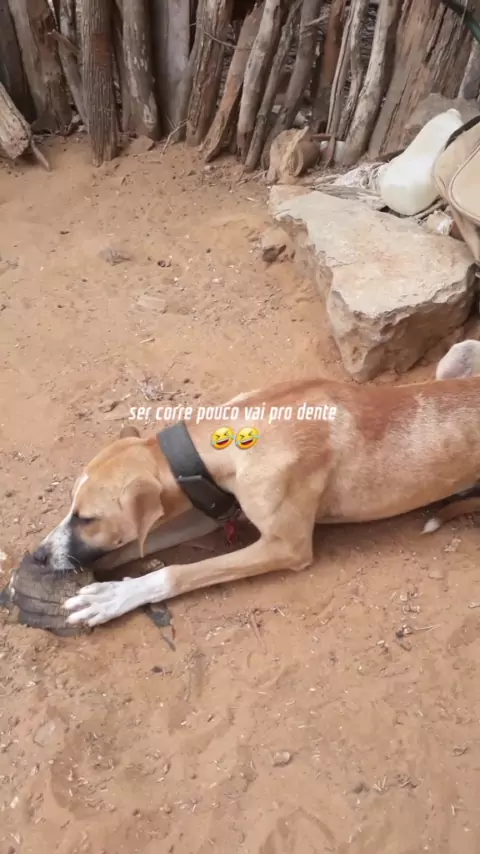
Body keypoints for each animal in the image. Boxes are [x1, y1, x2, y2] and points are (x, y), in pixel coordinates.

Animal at [32, 340, 480, 628]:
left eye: (88, 517)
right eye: (72, 508)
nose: (38, 556)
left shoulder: (285, 547)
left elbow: (178, 571)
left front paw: (117, 596)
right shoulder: (209, 503)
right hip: (459, 354)